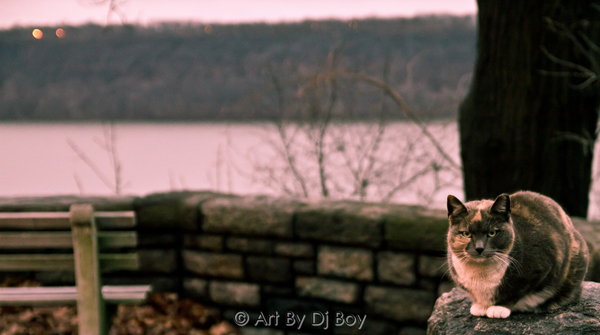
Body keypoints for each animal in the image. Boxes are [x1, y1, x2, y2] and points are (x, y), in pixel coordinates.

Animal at [448, 192, 588, 320]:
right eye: (466, 234)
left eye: (492, 233)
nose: (479, 248)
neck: (480, 274)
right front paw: (480, 306)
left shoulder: (541, 267)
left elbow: (516, 292)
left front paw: (499, 308)